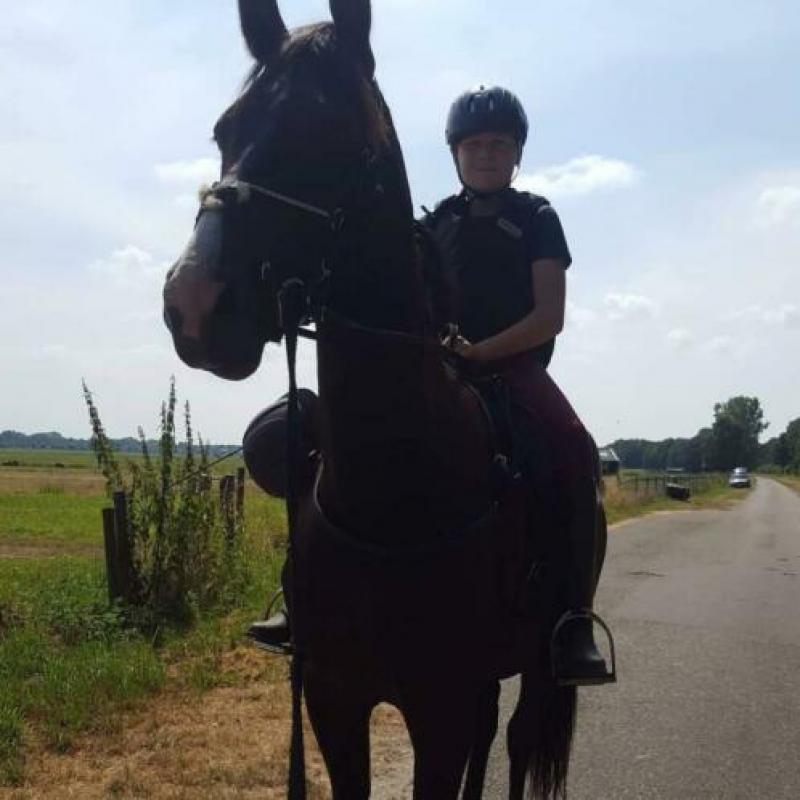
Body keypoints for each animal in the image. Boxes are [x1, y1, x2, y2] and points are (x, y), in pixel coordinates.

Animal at [163, 2, 582, 797]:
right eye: (226, 131)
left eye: (329, 134)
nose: (193, 303)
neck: (397, 488)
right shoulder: (333, 697)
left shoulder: (438, 705)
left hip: (540, 670)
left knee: (517, 743)